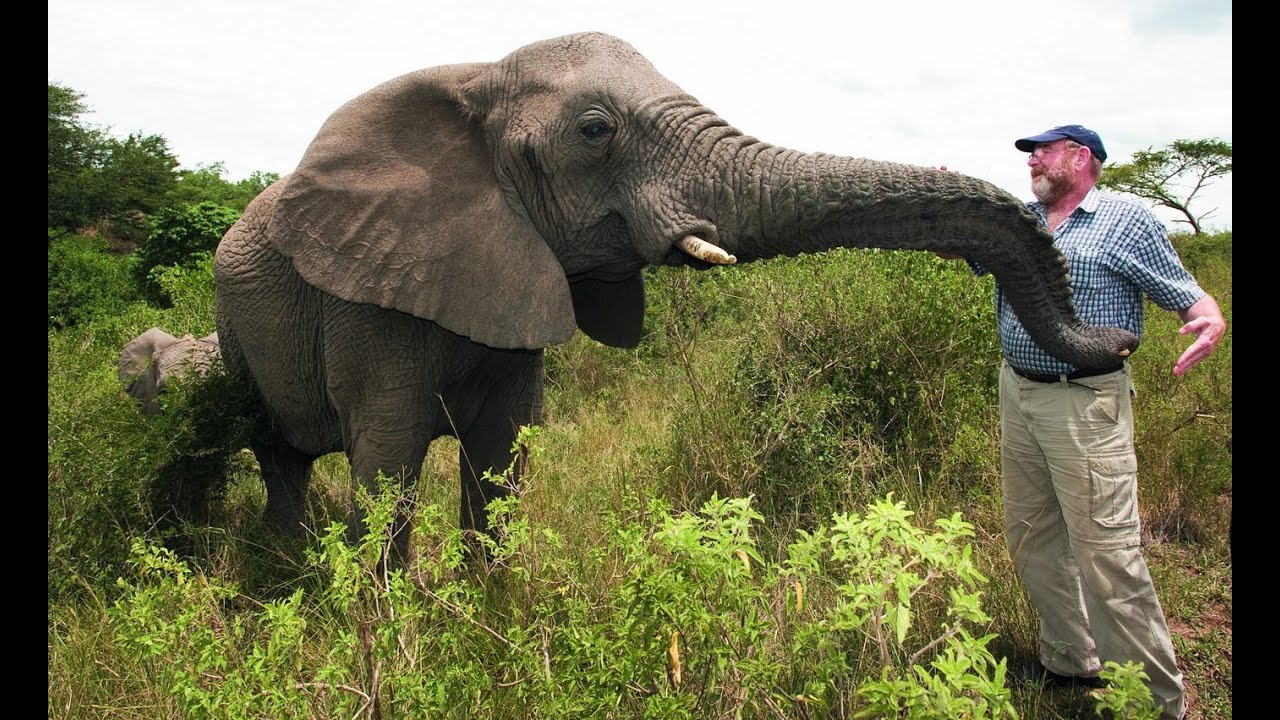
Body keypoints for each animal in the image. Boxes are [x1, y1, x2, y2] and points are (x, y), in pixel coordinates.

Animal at [213, 32, 1137, 557]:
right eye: (595, 131)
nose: (1123, 344)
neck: (473, 80)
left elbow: (503, 465)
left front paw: (489, 624)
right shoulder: (368, 303)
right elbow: (387, 470)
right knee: (279, 454)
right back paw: (288, 570)